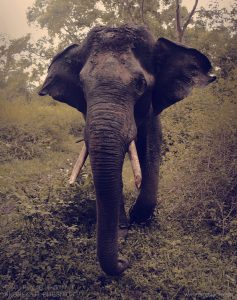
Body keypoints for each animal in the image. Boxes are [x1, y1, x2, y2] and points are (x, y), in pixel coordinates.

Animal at [38, 24, 216, 276]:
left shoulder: (153, 109)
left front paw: (139, 218)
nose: (124, 261)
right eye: (82, 86)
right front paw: (124, 229)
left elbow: (150, 149)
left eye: (141, 84)